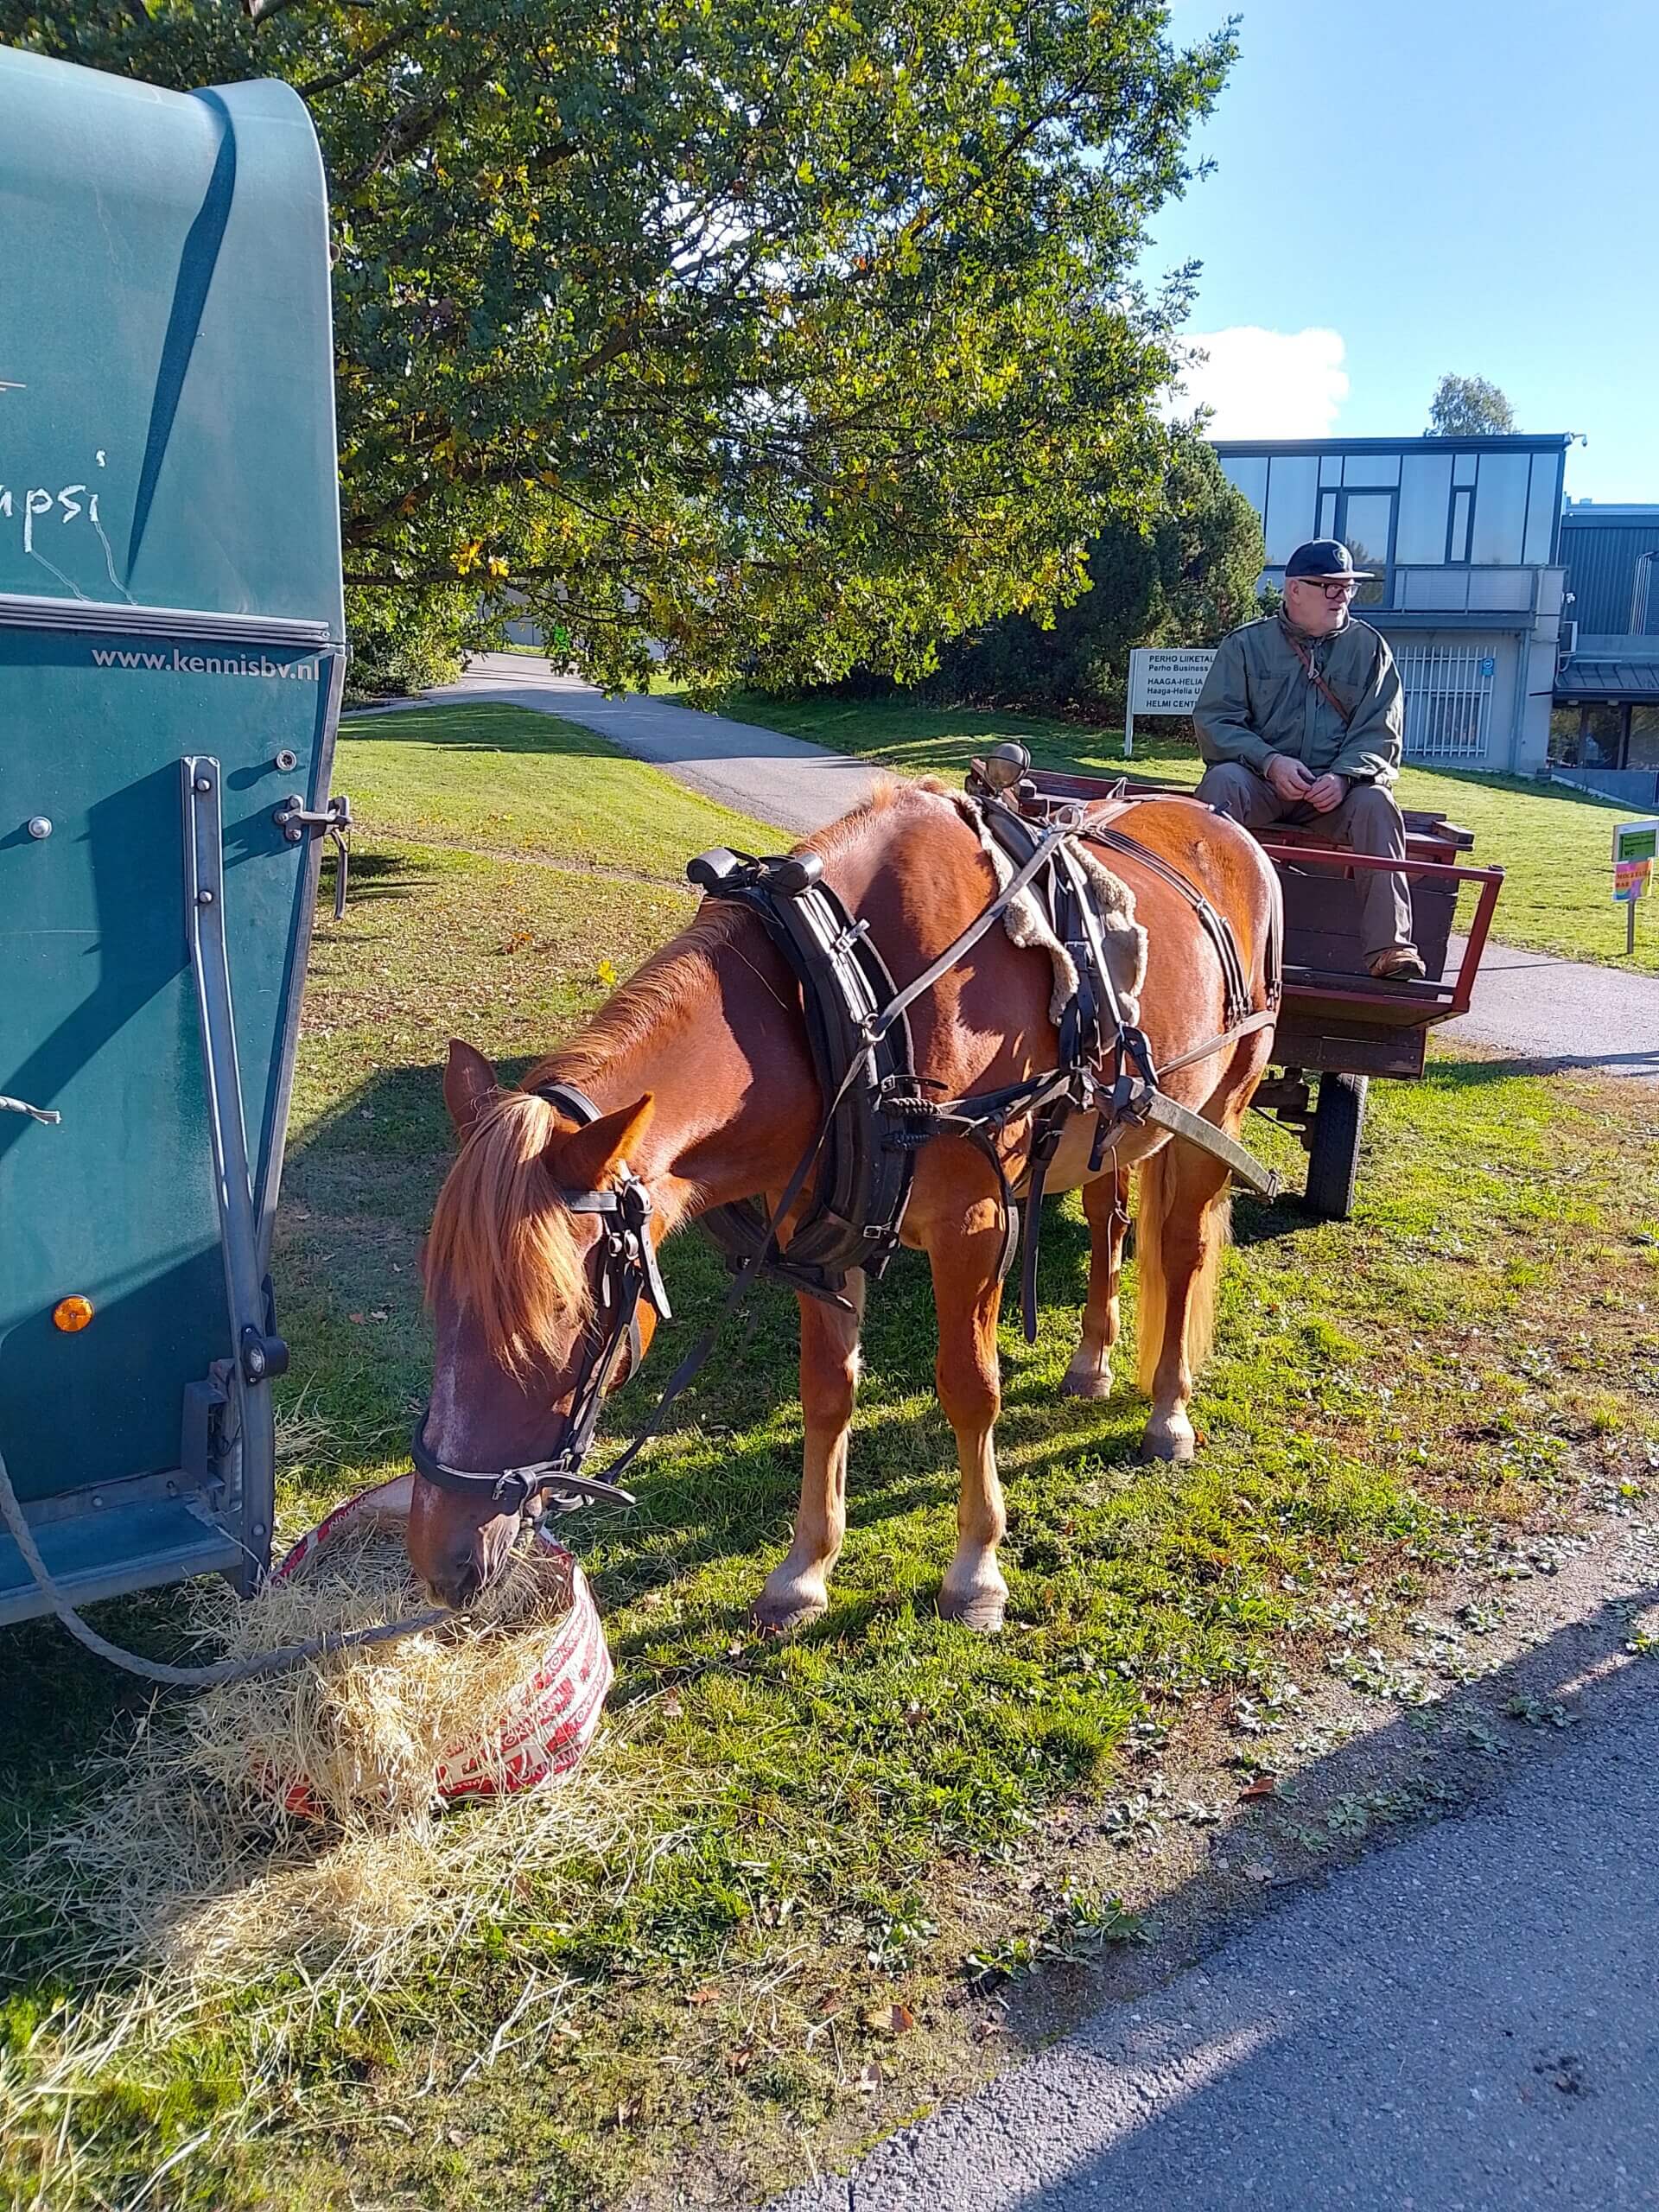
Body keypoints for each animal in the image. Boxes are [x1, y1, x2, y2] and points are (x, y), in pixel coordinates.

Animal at [409, 774, 1282, 1628]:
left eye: (564, 1312)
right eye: (437, 1299)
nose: (440, 1560)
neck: (843, 994)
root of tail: (1221, 824)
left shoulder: (976, 1225)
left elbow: (971, 1388)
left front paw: (976, 1570)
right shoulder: (818, 1236)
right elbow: (826, 1395)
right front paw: (803, 1571)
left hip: (1220, 1111)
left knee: (1181, 1250)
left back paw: (1168, 1412)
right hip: (1116, 1128)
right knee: (1110, 1221)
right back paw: (1093, 1361)